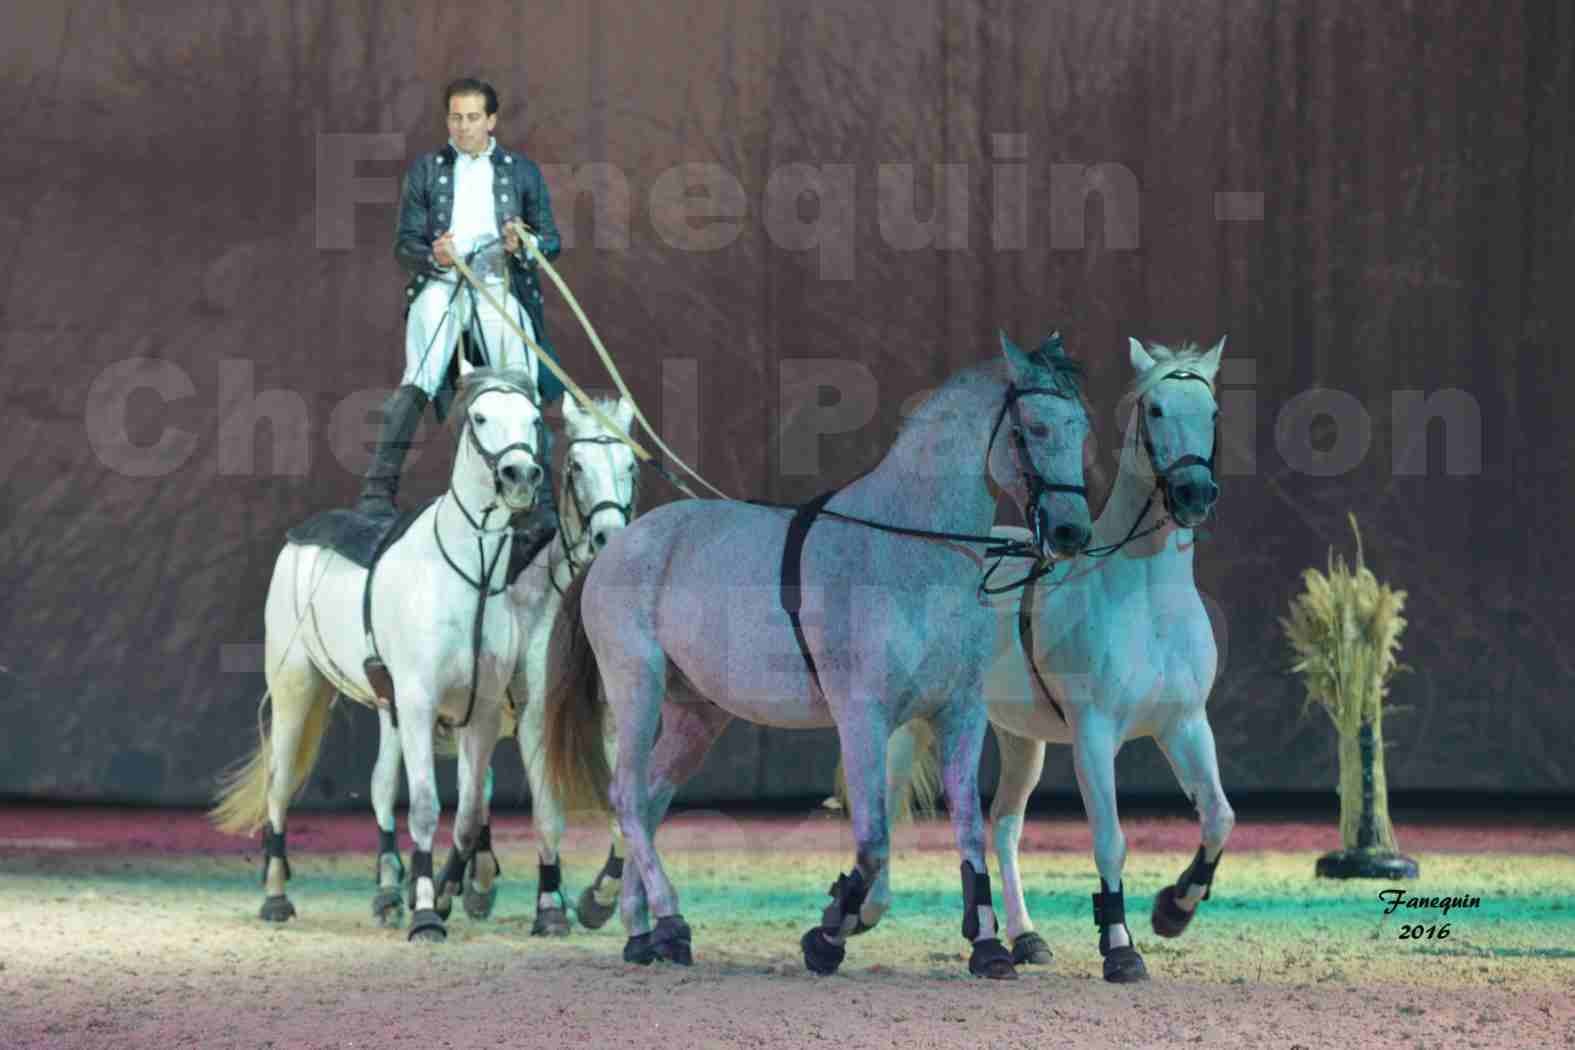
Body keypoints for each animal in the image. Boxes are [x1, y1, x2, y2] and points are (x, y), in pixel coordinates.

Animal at [212, 368, 548, 944]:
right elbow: (426, 806)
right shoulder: (418, 704)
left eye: (533, 418)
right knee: (280, 782)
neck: (473, 575)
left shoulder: (478, 714)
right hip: (297, 687)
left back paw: (387, 892)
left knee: (379, 788)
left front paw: (434, 894)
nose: (520, 474)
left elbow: (465, 815)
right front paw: (427, 914)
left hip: (388, 710)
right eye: (480, 418)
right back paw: (276, 896)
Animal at [362, 393, 639, 938]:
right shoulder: (533, 719)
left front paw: (597, 897)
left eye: (631, 465)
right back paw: (427, 889)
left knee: (479, 793)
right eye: (577, 466)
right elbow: (546, 815)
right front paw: (550, 904)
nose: (608, 538)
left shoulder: (613, 720)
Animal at [541, 335, 1096, 976]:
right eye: (1033, 427)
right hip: (637, 689)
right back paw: (669, 921)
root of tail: (611, 551)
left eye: (1080, 427)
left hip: (695, 714)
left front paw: (985, 946)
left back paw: (642, 932)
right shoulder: (862, 717)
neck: (908, 549)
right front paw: (829, 933)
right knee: (629, 799)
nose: (1071, 533)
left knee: (652, 802)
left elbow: (966, 831)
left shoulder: (959, 714)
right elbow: (873, 842)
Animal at [888, 338, 1228, 988]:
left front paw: (1173, 910)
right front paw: (1121, 949)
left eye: (1213, 411)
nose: (1195, 494)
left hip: (1022, 740)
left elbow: (1218, 817)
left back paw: (1025, 938)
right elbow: (1110, 839)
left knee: (1004, 824)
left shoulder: (1186, 724)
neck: (1145, 597)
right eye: (1156, 410)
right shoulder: (1095, 733)